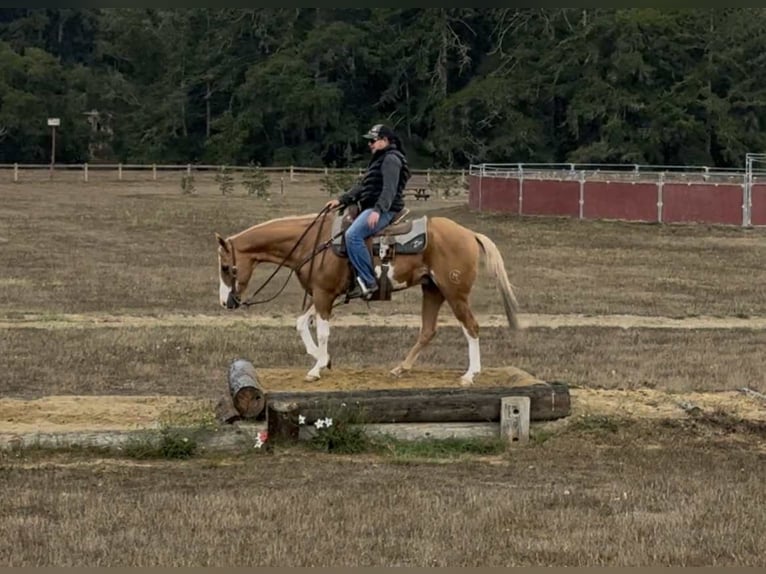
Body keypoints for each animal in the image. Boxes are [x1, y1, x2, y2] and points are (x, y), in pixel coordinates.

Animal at [215, 207, 520, 386]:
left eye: (226, 267)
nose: (225, 302)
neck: (313, 242)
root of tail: (469, 233)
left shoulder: (324, 294)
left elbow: (323, 332)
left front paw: (317, 368)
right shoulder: (322, 294)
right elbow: (302, 323)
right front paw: (323, 359)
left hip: (454, 292)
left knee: (471, 327)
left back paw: (470, 374)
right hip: (432, 290)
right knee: (428, 330)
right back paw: (401, 369)